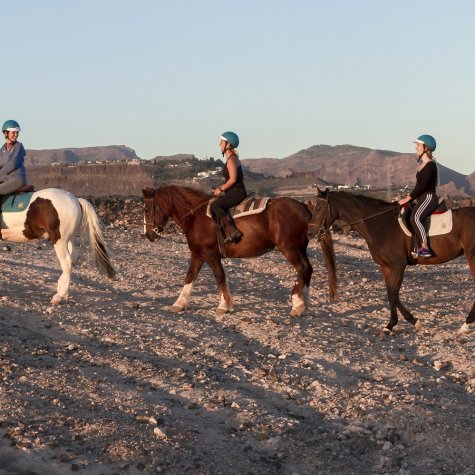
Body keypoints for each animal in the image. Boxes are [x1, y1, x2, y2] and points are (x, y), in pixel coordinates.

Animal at [142, 185, 338, 316]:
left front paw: (224, 305)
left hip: (289, 249)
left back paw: (298, 302)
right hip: (299, 248)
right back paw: (305, 301)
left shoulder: (211, 255)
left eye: (148, 208)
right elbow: (189, 277)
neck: (196, 217)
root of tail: (304, 207)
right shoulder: (198, 255)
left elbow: (220, 277)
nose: (148, 234)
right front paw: (179, 303)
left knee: (303, 268)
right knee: (307, 270)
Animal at [310, 188, 475, 336]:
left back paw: (466, 325)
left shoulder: (397, 266)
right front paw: (390, 325)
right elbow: (390, 294)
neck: (379, 224)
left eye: (318, 208)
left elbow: (394, 294)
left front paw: (414, 321)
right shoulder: (386, 267)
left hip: (472, 256)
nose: (311, 233)